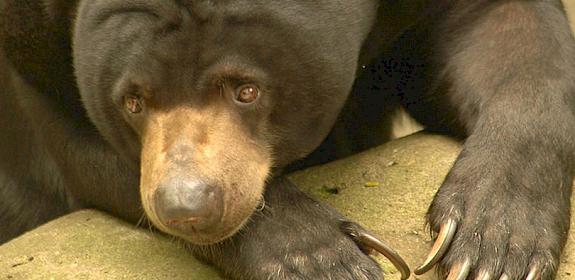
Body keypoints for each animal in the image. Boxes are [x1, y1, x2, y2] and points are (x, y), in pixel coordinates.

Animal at [1, 0, 575, 278]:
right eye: (133, 102)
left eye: (247, 91)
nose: (185, 207)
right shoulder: (32, 49)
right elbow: (82, 145)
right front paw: (322, 260)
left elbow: (512, 36)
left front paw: (492, 247)